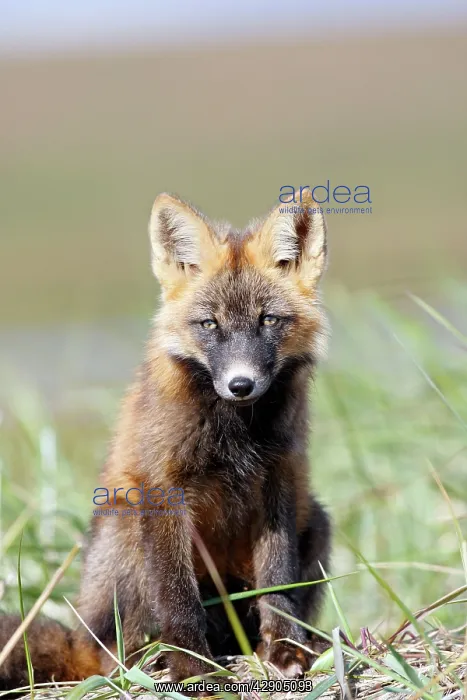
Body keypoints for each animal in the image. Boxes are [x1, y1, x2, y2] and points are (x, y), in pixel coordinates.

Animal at [0, 191, 331, 695]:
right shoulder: (163, 489)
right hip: (125, 529)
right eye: (209, 325)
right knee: (116, 654)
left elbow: (278, 580)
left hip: (317, 521)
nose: (240, 385)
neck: (235, 435)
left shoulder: (279, 479)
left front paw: (285, 651)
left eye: (269, 320)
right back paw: (146, 661)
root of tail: (80, 638)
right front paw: (193, 668)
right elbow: (177, 595)